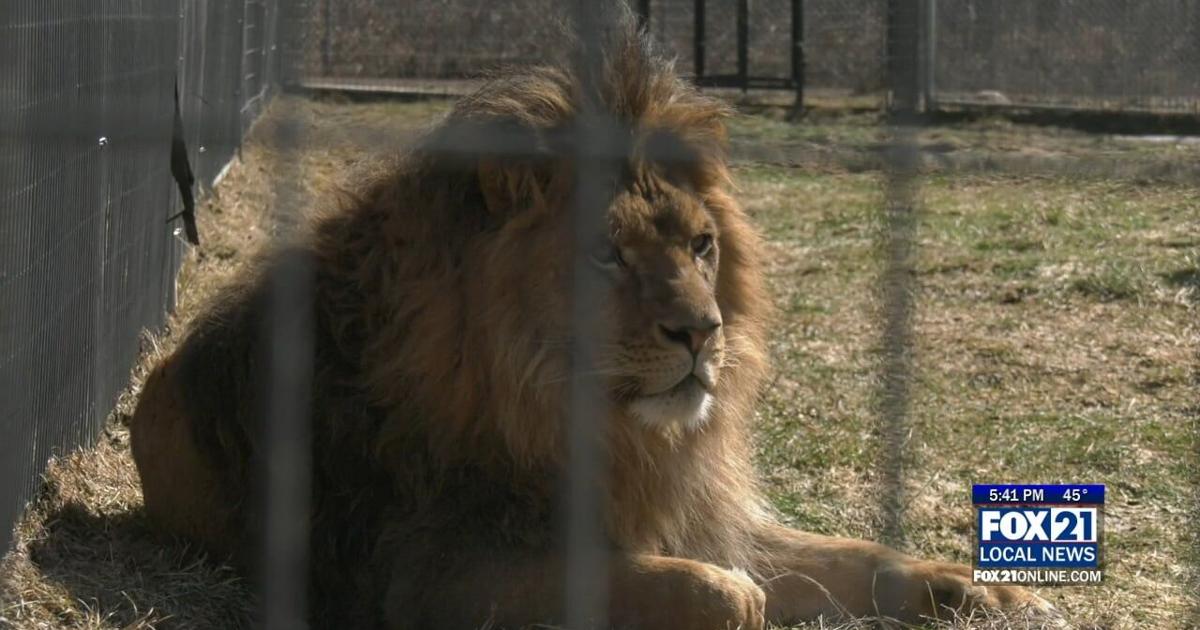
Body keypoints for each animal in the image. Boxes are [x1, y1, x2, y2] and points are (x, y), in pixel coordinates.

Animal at [130, 12, 1057, 630]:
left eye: (702, 246)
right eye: (607, 255)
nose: (702, 332)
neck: (598, 425)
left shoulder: (700, 511)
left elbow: (860, 556)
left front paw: (986, 586)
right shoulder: (431, 572)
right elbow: (715, 588)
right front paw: (737, 597)